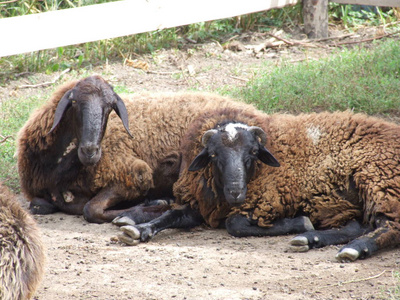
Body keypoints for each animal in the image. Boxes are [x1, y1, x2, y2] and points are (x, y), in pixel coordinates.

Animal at [16, 76, 260, 224]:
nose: (91, 151)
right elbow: (43, 204)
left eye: (110, 107)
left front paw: (142, 210)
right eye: (74, 103)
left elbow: (91, 209)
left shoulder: (131, 173)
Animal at [118, 108, 400, 262]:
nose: (235, 192)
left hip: (379, 181)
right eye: (213, 155)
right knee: (358, 225)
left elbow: (235, 224)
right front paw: (140, 230)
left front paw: (300, 221)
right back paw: (312, 239)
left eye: (253, 153)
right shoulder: (203, 205)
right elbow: (171, 215)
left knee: (390, 227)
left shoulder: (268, 201)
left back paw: (353, 248)